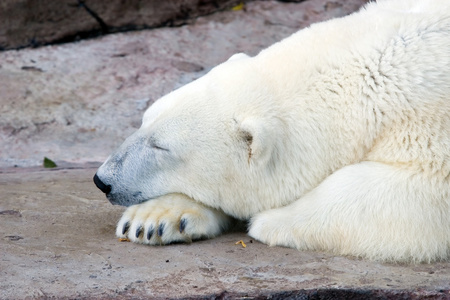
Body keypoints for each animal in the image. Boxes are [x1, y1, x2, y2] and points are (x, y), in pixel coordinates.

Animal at [92, 0, 450, 262]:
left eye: (161, 147)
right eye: (143, 121)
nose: (102, 180)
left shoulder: (429, 123)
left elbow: (416, 191)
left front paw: (271, 221)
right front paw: (152, 219)